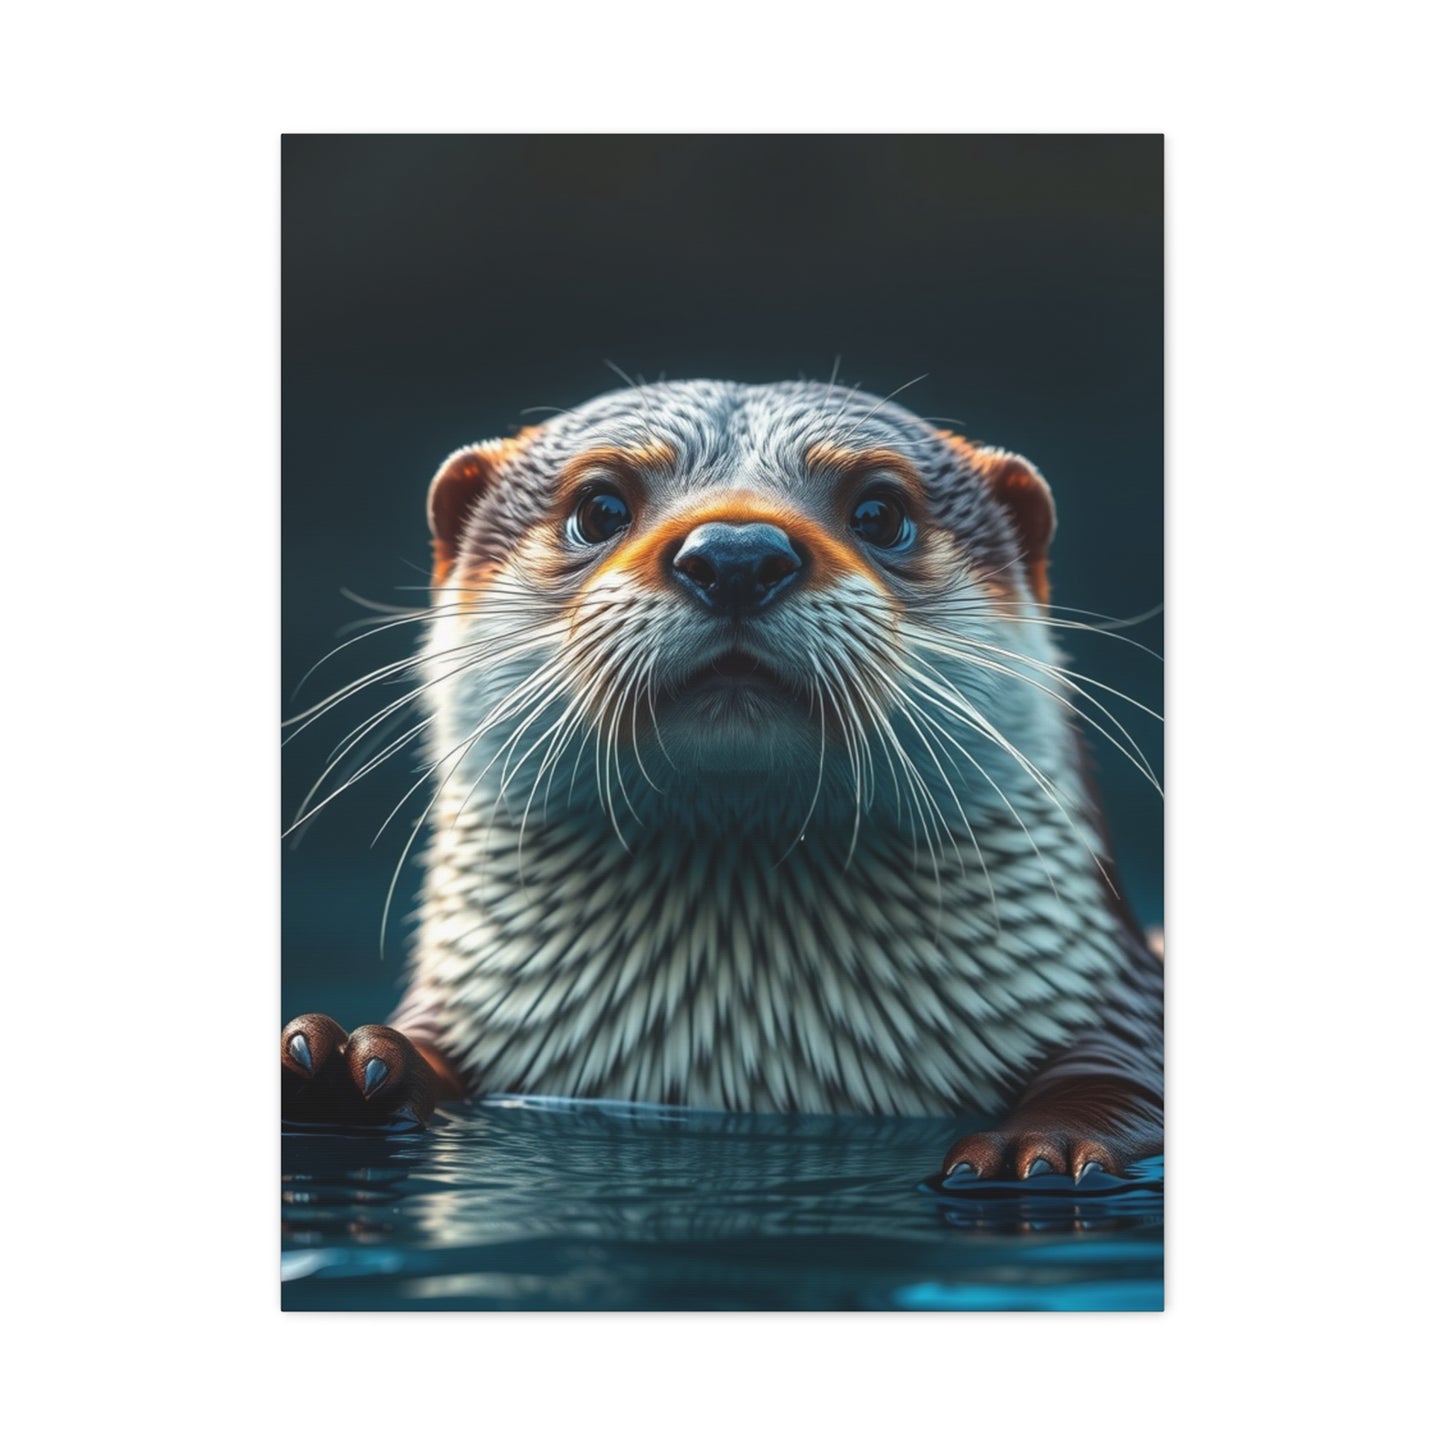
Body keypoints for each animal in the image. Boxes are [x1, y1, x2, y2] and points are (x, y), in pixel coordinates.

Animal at [281, 380, 1163, 1183]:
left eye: (879, 513)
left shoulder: (1118, 1007)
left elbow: (1117, 1083)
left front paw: (1038, 1147)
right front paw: (341, 1064)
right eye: (599, 507)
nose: (736, 555)